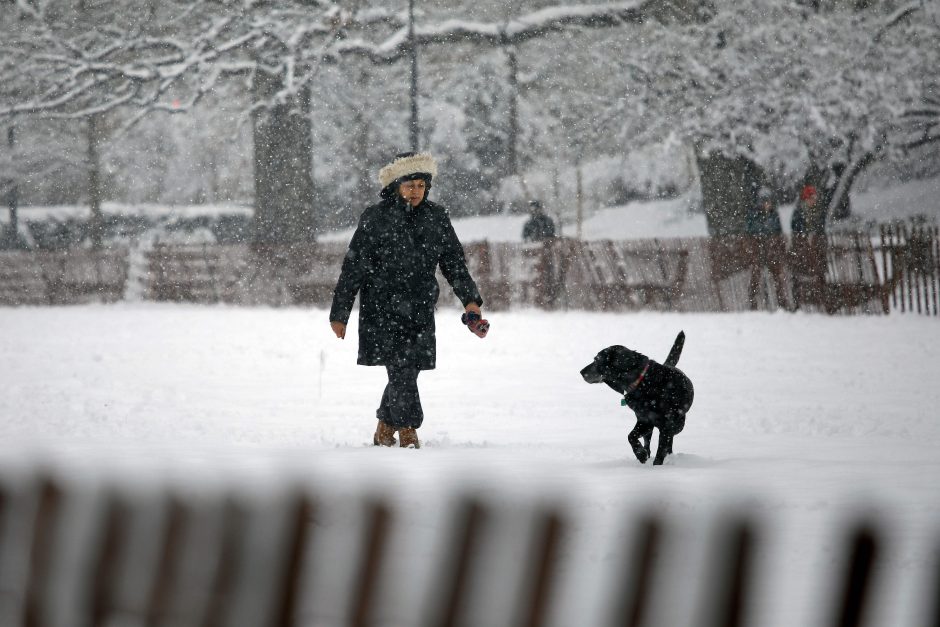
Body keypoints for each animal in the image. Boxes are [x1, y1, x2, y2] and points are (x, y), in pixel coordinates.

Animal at [576, 334, 692, 466]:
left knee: (669, 439)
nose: (581, 372)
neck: (643, 382)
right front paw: (641, 454)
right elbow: (631, 436)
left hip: (678, 425)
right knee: (648, 441)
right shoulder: (644, 420)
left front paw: (657, 466)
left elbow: (661, 448)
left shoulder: (666, 425)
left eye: (596, 360)